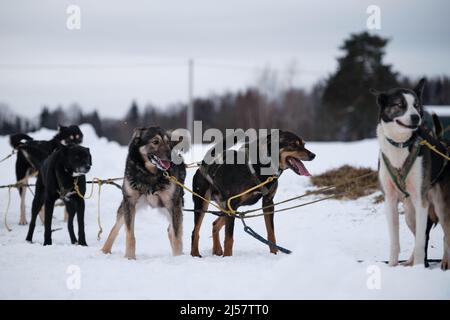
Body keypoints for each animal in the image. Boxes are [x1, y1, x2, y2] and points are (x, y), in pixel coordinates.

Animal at [102, 126, 186, 258]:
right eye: (155, 142)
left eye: (168, 142)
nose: (172, 156)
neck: (150, 174)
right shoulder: (130, 202)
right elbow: (130, 235)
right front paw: (129, 257)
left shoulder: (173, 204)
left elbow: (177, 236)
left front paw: (178, 258)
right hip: (128, 206)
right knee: (115, 227)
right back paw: (104, 250)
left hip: (172, 208)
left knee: (172, 229)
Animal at [191, 130, 316, 258]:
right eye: (293, 144)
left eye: (304, 144)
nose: (313, 155)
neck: (260, 167)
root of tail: (204, 163)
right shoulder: (232, 204)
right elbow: (229, 238)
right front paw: (228, 257)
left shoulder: (268, 203)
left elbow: (271, 233)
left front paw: (274, 254)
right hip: (203, 204)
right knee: (195, 231)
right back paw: (195, 254)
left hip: (226, 207)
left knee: (215, 224)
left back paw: (217, 250)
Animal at [372, 79, 450, 268]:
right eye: (400, 105)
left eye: (416, 105)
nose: (416, 117)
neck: (400, 145)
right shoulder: (390, 200)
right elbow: (395, 241)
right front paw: (392, 266)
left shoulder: (421, 200)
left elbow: (421, 242)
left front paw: (419, 268)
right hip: (409, 214)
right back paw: (409, 261)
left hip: (440, 206)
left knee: (445, 235)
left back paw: (445, 262)